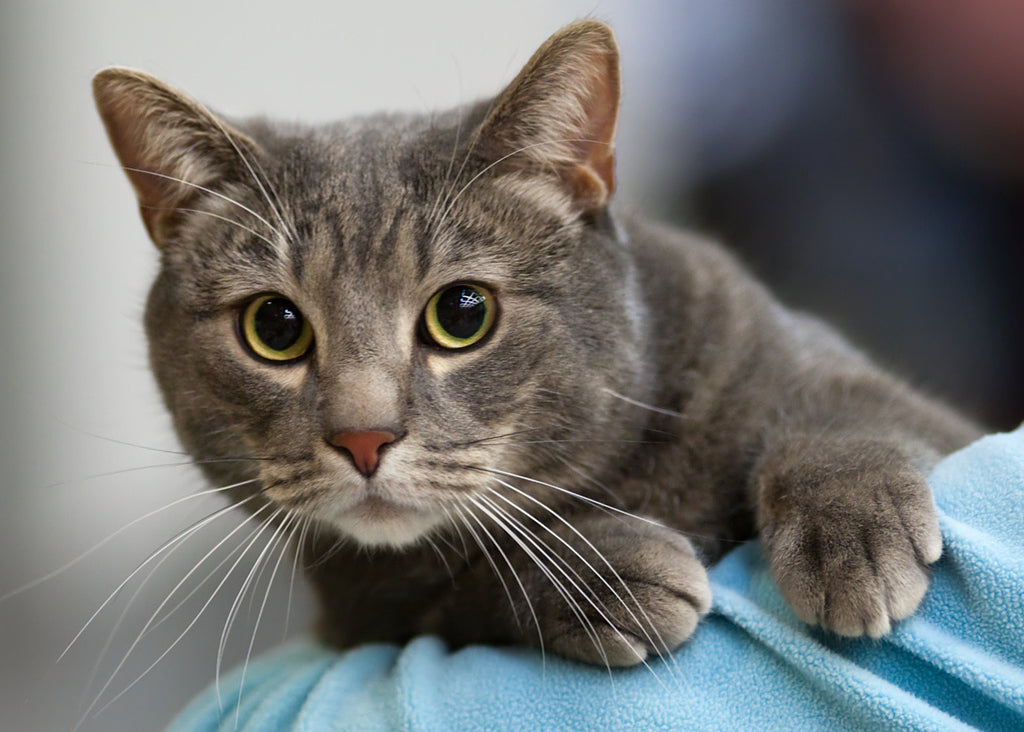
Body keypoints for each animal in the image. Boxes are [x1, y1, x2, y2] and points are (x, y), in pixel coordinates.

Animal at [92, 20, 978, 667]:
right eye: (274, 328)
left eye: (462, 313)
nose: (363, 437)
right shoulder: (362, 615)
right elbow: (461, 587)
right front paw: (602, 571)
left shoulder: (833, 376)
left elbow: (844, 411)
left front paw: (849, 535)